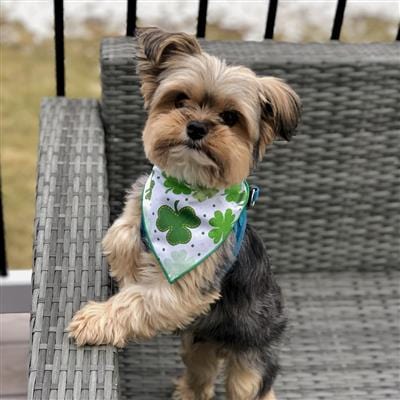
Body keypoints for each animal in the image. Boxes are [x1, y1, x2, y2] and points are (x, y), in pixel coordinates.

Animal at [69, 26, 300, 398]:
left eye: (230, 117)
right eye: (179, 100)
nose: (196, 126)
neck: (185, 195)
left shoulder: (183, 289)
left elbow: (136, 299)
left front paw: (96, 319)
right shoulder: (140, 207)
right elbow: (120, 234)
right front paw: (129, 259)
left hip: (252, 357)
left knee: (253, 385)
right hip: (198, 344)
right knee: (201, 374)